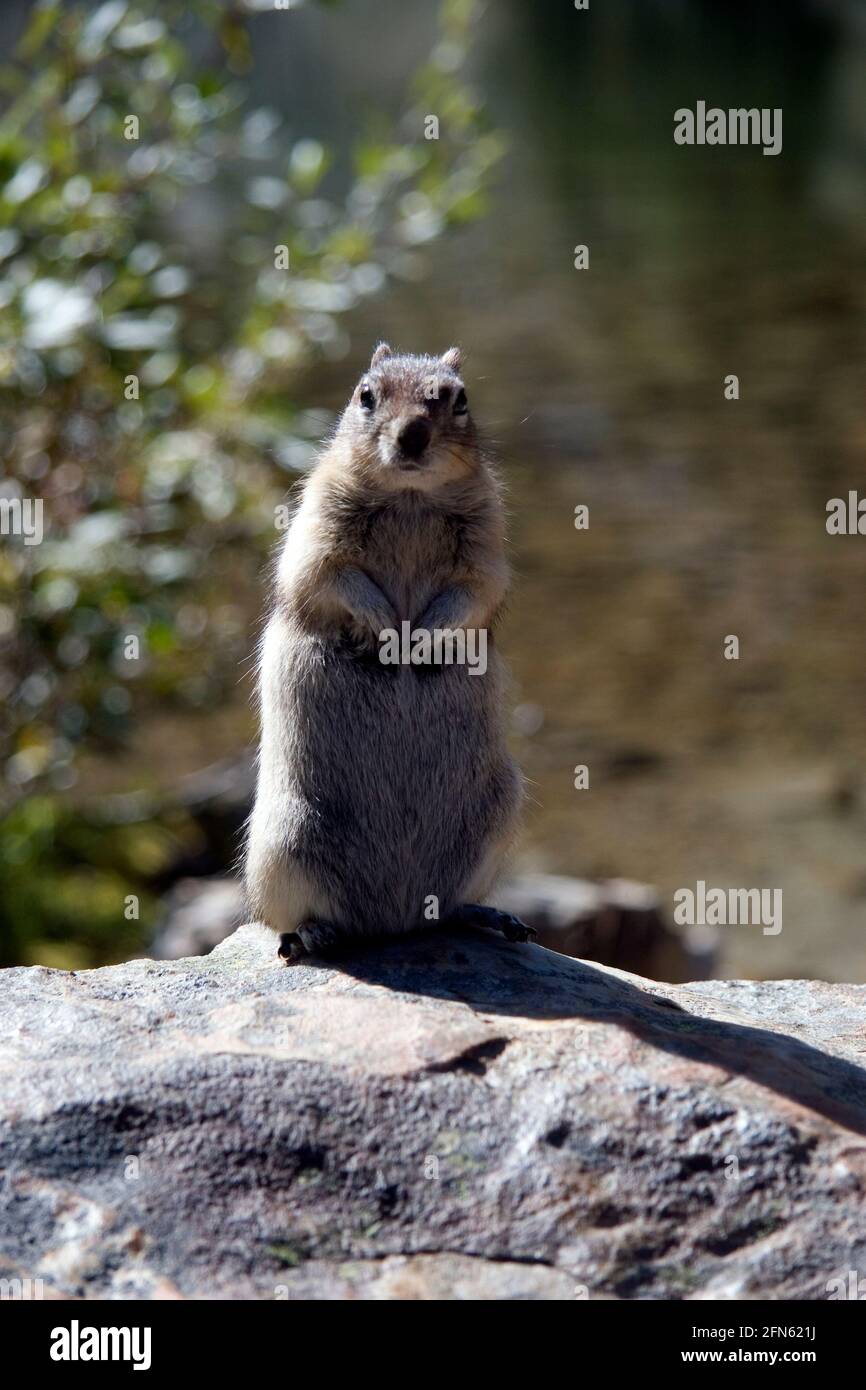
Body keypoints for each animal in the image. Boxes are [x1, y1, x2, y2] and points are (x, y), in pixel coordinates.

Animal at [244, 342, 533, 961]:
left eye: (459, 398)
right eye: (365, 395)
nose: (412, 436)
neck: (410, 498)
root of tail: (391, 923)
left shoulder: (486, 547)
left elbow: (474, 591)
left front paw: (419, 639)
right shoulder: (316, 530)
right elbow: (330, 577)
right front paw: (385, 632)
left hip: (496, 817)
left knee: (449, 908)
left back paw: (489, 915)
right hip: (284, 840)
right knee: (284, 917)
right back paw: (313, 933)